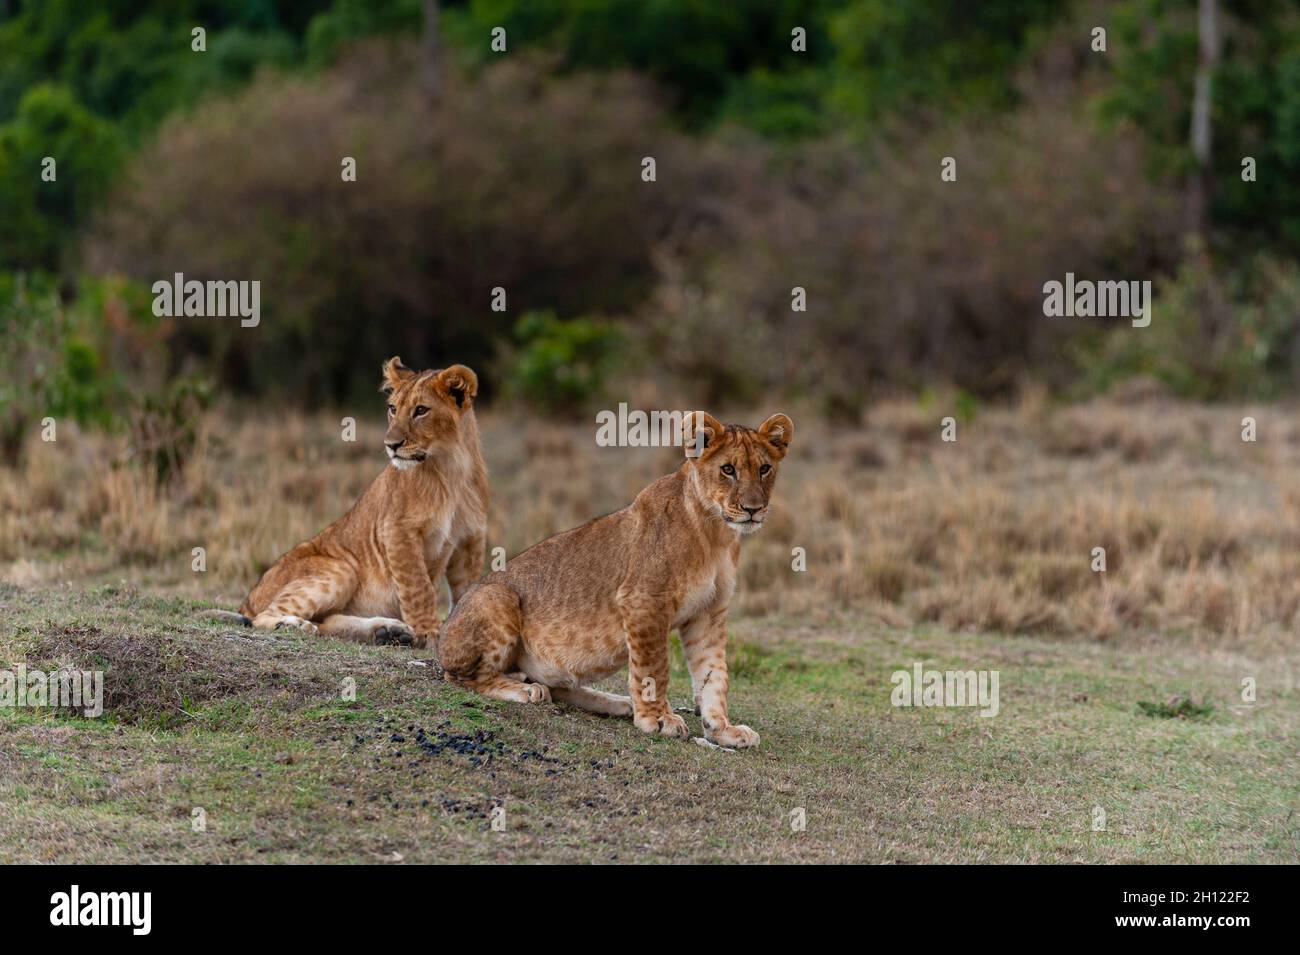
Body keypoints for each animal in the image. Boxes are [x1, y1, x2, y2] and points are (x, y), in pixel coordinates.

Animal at [207, 358, 488, 647]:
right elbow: (418, 587)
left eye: (421, 410)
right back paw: (295, 625)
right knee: (263, 617)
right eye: (393, 409)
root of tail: (247, 600)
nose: (391, 444)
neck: (451, 465)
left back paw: (387, 631)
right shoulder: (397, 530)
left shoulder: (471, 539)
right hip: (342, 567)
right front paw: (429, 635)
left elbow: (469, 590)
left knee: (327, 621)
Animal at [437, 410, 793, 748]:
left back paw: (614, 702)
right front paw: (658, 719)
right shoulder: (644, 601)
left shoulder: (709, 613)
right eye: (728, 469)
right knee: (464, 678)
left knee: (561, 686)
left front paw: (722, 730)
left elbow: (714, 676)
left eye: (764, 469)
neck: (715, 532)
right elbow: (653, 668)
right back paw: (527, 690)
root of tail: (442, 637)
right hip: (497, 597)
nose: (753, 508)